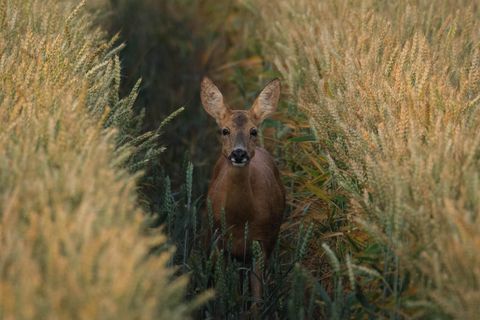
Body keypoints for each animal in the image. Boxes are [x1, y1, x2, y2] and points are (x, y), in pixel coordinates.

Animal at [200, 76, 284, 308]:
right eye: (224, 130)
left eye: (253, 131)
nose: (239, 153)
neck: (241, 218)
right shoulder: (218, 238)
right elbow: (220, 287)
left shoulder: (263, 241)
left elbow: (257, 296)